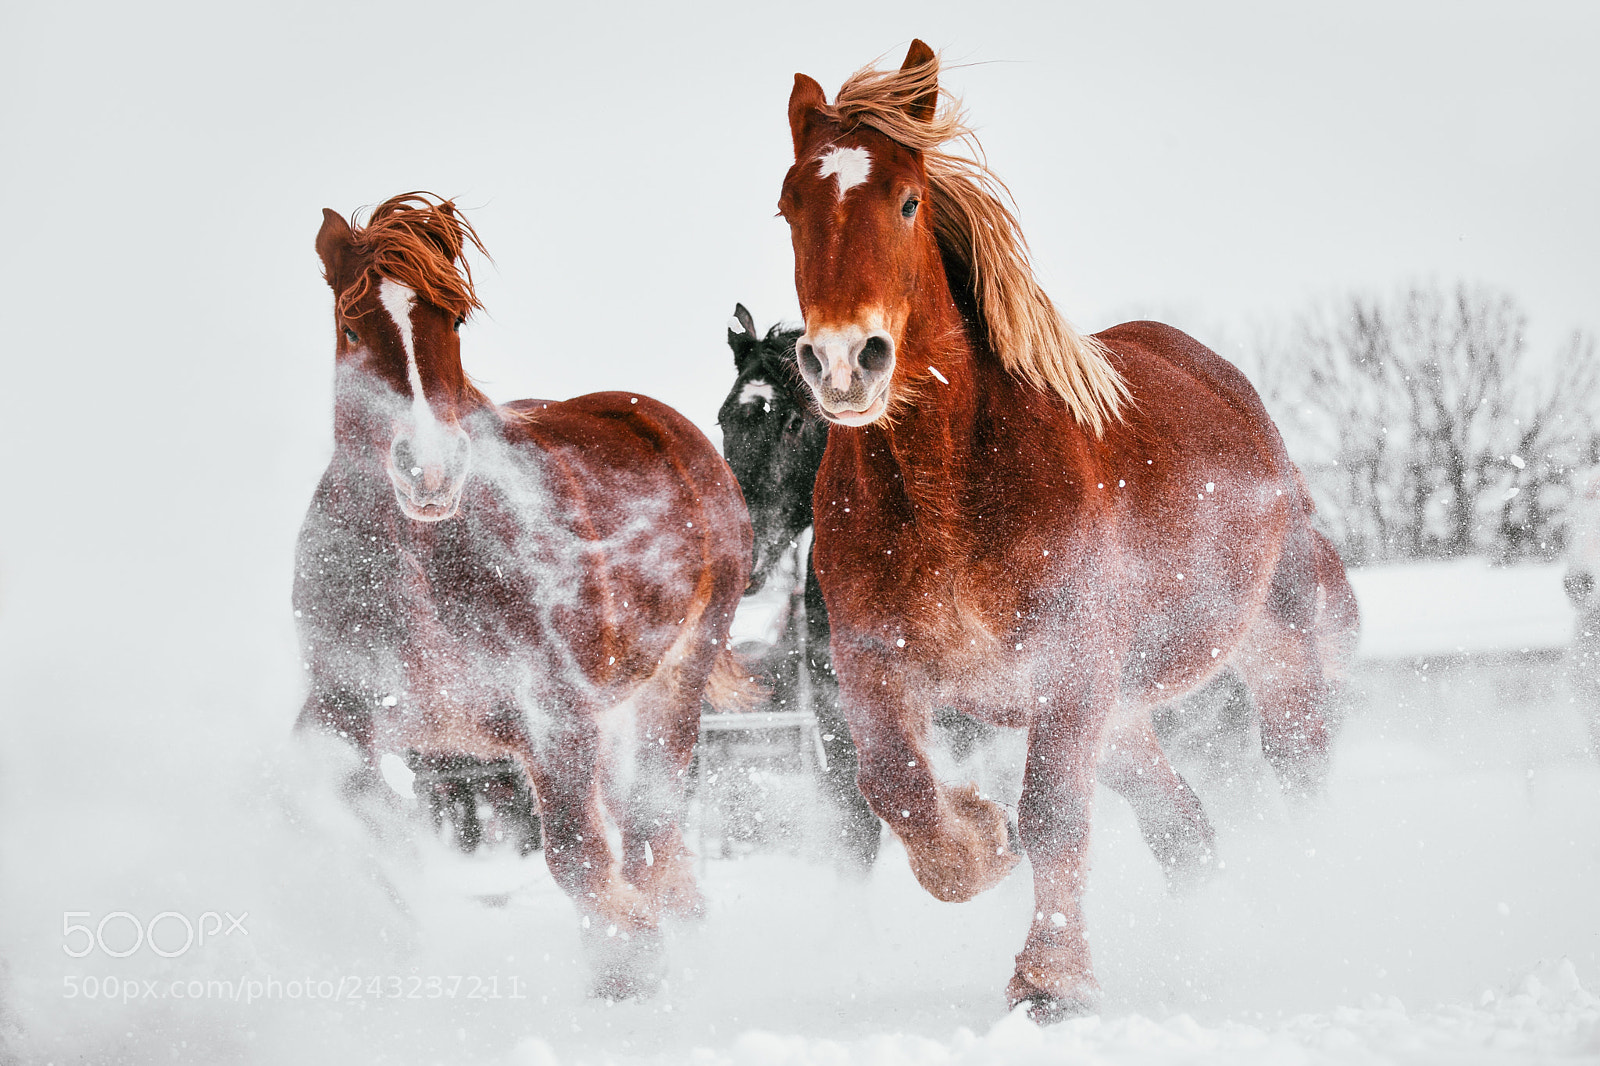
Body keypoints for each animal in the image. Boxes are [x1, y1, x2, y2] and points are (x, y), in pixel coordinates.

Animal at [293, 192, 751, 997]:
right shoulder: (344, 706)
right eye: (351, 324)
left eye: (453, 321)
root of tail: (669, 426)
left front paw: (629, 966)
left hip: (675, 678)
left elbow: (574, 851)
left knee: (651, 825)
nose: (431, 471)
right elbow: (361, 810)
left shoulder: (555, 715)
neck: (422, 562)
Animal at [776, 42, 1359, 1019]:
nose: (846, 362)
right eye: (789, 207)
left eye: (907, 199)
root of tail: (1237, 394)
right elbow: (897, 789)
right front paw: (979, 841)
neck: (948, 492)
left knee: (1300, 773)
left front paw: (1050, 981)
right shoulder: (872, 663)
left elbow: (1052, 819)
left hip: (1265, 652)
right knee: (1183, 830)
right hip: (1119, 714)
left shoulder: (1068, 664)